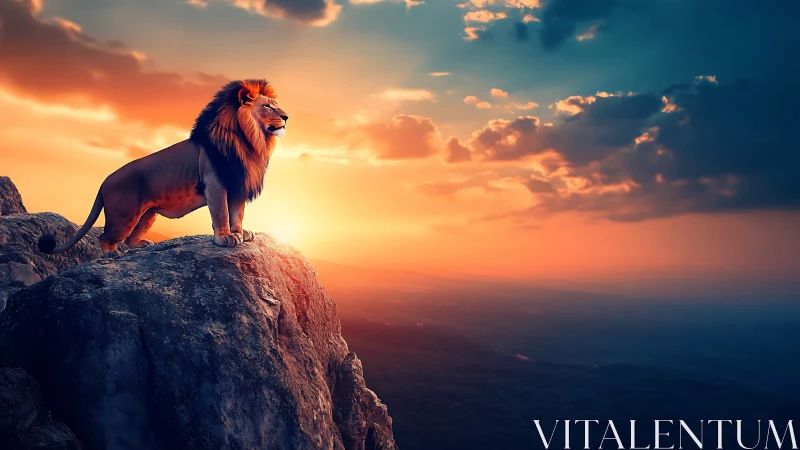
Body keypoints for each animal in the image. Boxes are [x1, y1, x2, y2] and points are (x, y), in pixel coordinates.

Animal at [37, 79, 288, 257]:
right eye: (268, 106)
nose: (286, 117)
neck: (250, 140)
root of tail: (103, 182)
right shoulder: (215, 183)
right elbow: (222, 213)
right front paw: (225, 238)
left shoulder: (238, 183)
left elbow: (237, 213)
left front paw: (240, 233)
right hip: (123, 215)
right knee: (107, 237)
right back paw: (111, 254)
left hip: (147, 215)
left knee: (130, 239)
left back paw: (143, 244)